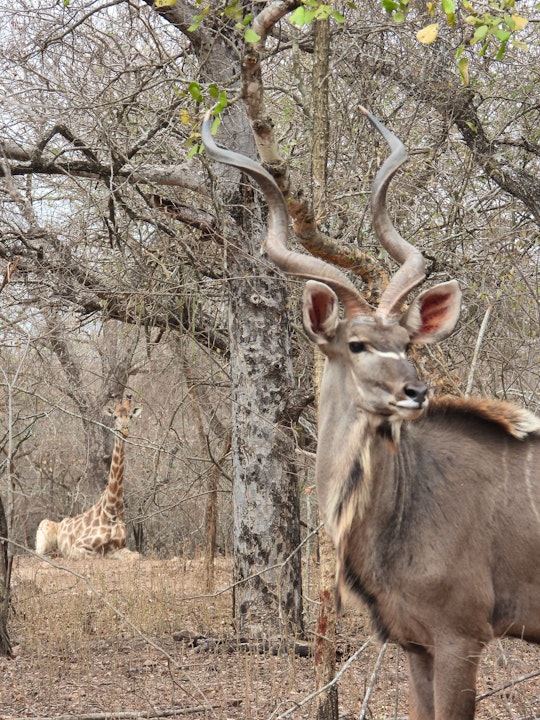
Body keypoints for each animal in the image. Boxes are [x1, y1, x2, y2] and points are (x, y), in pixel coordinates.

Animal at [34, 396, 142, 560]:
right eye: (114, 416)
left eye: (130, 416)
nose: (124, 430)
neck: (112, 507)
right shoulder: (77, 546)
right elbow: (96, 555)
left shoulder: (120, 546)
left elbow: (136, 555)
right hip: (44, 528)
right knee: (38, 554)